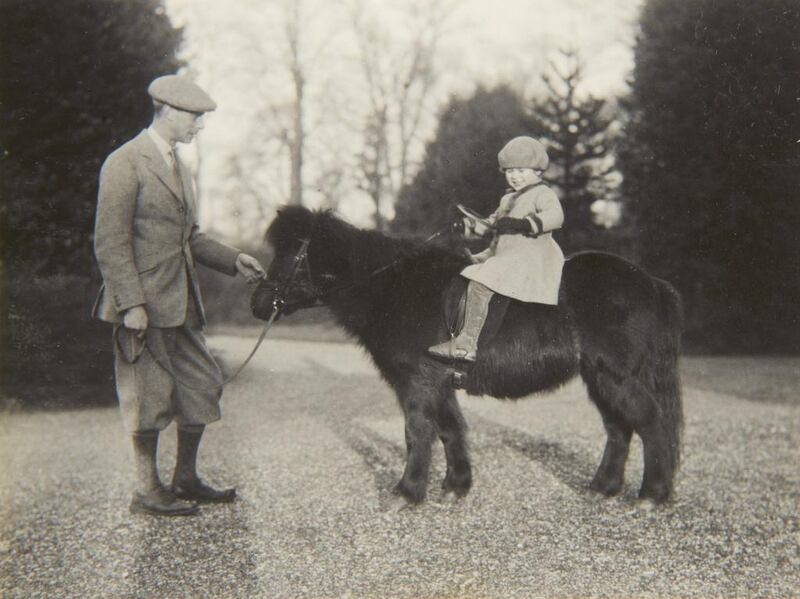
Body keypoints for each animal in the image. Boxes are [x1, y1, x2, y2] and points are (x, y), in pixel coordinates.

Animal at [253, 209, 684, 504]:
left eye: (290, 254)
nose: (258, 302)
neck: (394, 285)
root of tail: (649, 281)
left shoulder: (417, 383)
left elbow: (418, 431)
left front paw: (407, 491)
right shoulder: (439, 383)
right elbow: (450, 429)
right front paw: (455, 486)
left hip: (615, 376)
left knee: (649, 421)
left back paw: (652, 493)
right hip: (599, 377)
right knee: (619, 428)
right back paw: (603, 487)